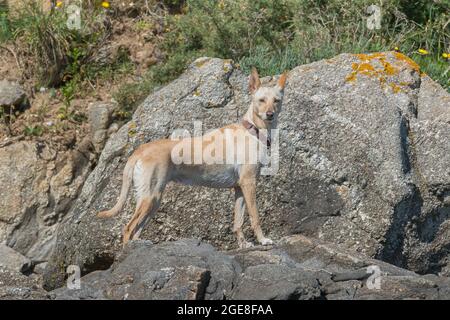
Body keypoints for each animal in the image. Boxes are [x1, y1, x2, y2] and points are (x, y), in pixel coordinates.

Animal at [98, 67, 288, 248]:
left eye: (276, 101)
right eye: (261, 100)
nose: (270, 114)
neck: (253, 130)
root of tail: (140, 149)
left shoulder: (240, 188)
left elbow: (238, 221)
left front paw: (243, 244)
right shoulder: (249, 183)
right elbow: (255, 217)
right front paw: (262, 240)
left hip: (154, 199)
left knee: (136, 231)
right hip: (150, 196)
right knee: (128, 228)